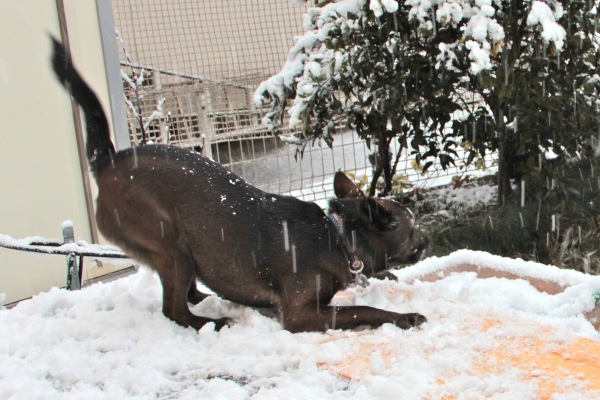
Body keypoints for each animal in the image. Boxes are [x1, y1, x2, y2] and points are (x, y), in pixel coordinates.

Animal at [50, 38, 426, 332]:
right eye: (412, 227)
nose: (427, 238)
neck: (339, 236)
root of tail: (109, 160)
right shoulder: (300, 315)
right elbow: (363, 309)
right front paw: (404, 316)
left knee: (189, 292)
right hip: (171, 245)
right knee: (174, 310)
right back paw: (214, 322)